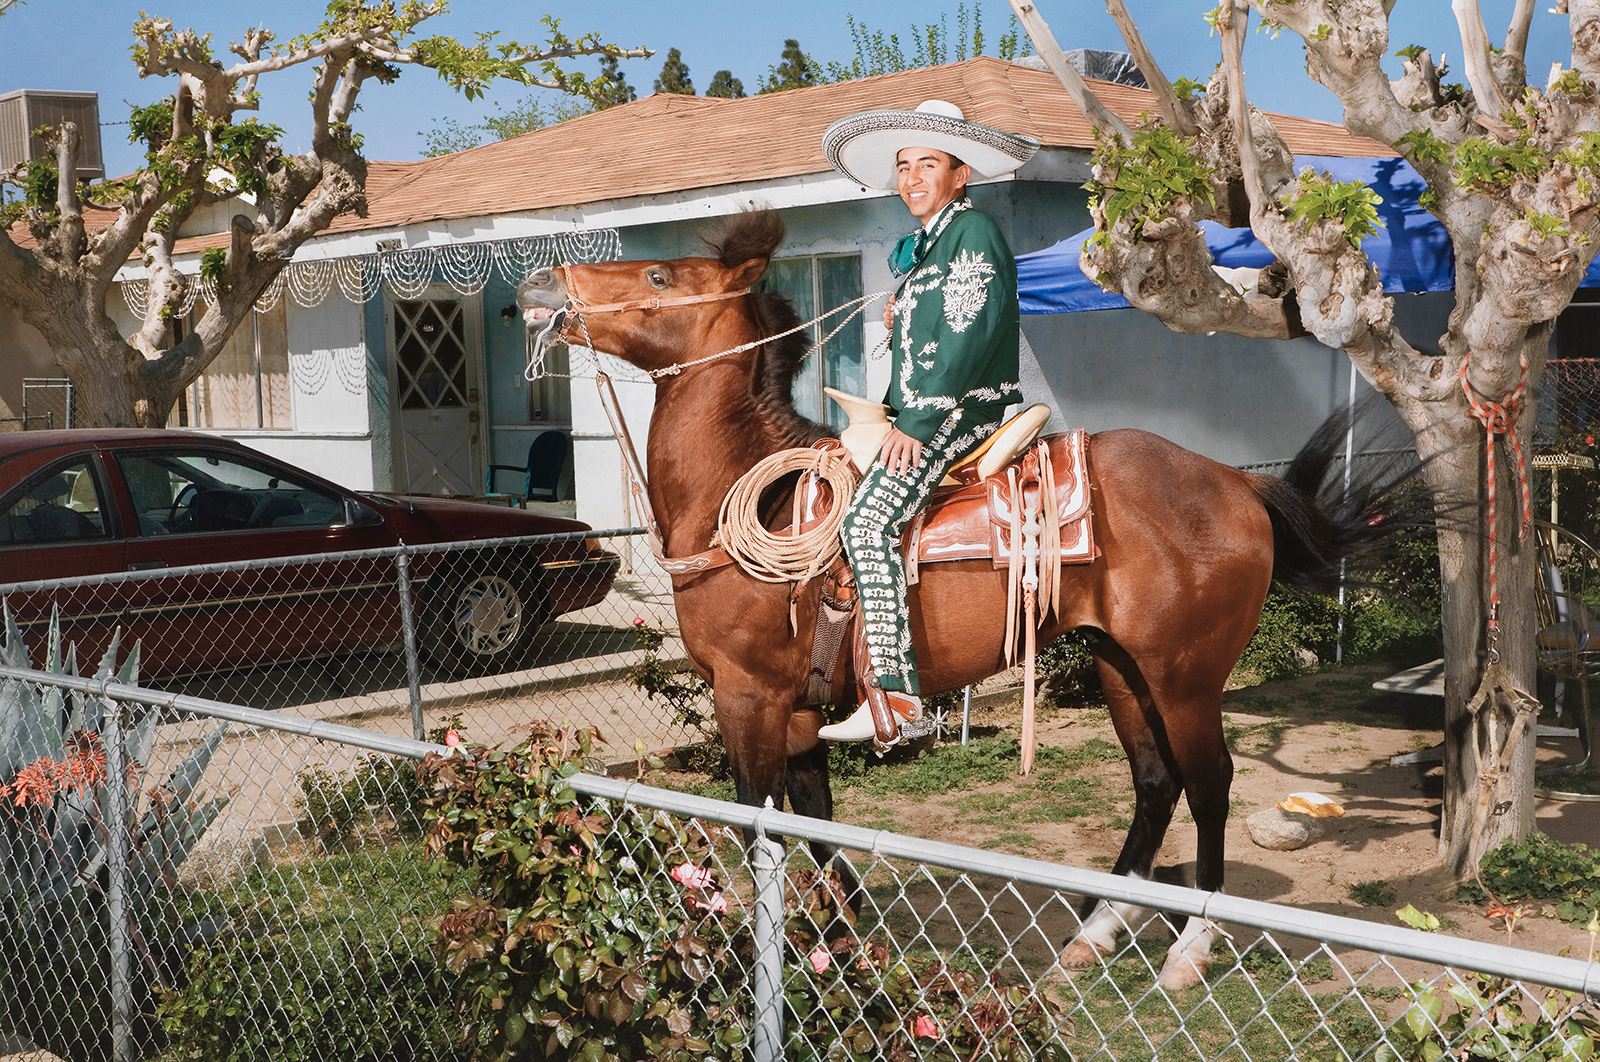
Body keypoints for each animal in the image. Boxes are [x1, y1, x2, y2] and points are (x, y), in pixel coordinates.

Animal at [518, 211, 1408, 991]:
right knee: (1157, 784)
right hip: (1122, 667)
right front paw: (843, 938)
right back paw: (1095, 934)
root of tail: (1237, 485)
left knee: (1210, 783)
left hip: (1186, 676)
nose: (538, 282)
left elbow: (762, 824)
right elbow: (816, 823)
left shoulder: (748, 698)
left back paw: (1190, 947)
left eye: (659, 276)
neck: (750, 493)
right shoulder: (797, 711)